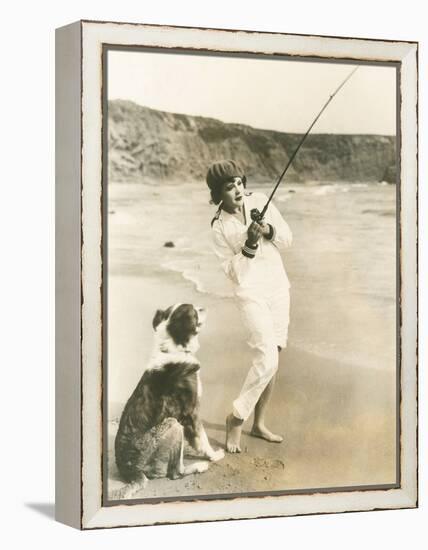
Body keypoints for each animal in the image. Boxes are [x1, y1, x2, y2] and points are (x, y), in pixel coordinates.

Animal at [115, 304, 226, 502]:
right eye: (194, 311)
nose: (204, 307)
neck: (175, 348)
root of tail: (130, 471)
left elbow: (197, 438)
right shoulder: (191, 411)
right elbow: (203, 438)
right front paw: (214, 456)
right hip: (173, 424)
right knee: (176, 472)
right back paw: (199, 466)